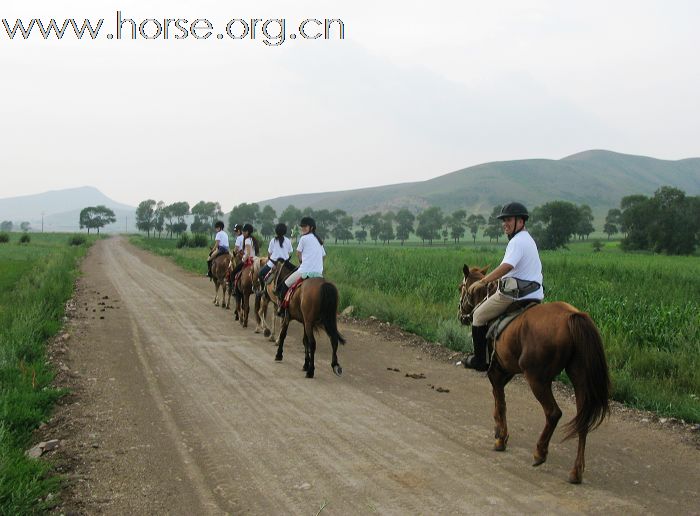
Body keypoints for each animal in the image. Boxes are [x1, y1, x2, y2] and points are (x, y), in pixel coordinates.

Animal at [456, 266, 608, 484]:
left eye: (461, 287)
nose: (461, 315)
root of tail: (572, 316)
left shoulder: (496, 371)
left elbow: (500, 402)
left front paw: (501, 438)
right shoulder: (506, 370)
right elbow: (499, 400)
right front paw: (499, 431)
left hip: (538, 379)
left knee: (553, 413)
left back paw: (540, 452)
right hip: (579, 379)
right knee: (582, 420)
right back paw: (576, 472)